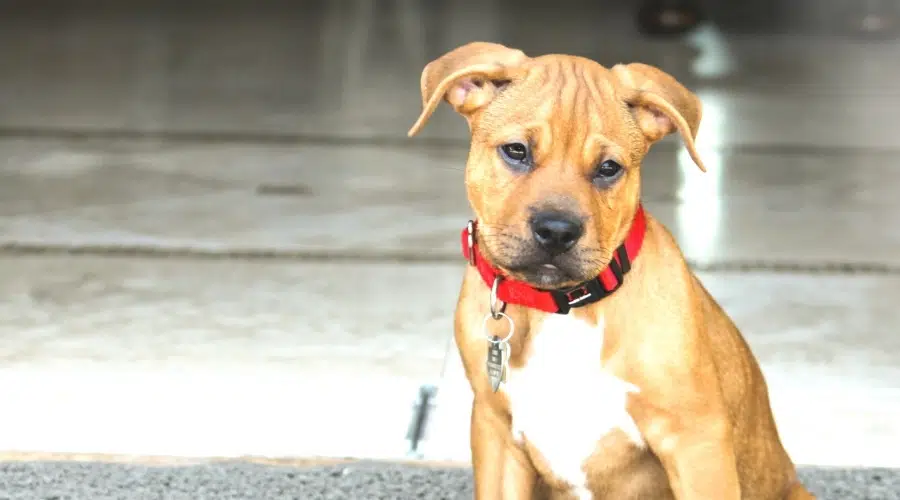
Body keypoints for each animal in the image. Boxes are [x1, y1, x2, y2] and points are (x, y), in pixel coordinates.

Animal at [408, 42, 816, 500]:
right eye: (516, 151)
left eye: (608, 169)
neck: (562, 307)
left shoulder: (696, 440)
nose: (557, 230)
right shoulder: (495, 433)